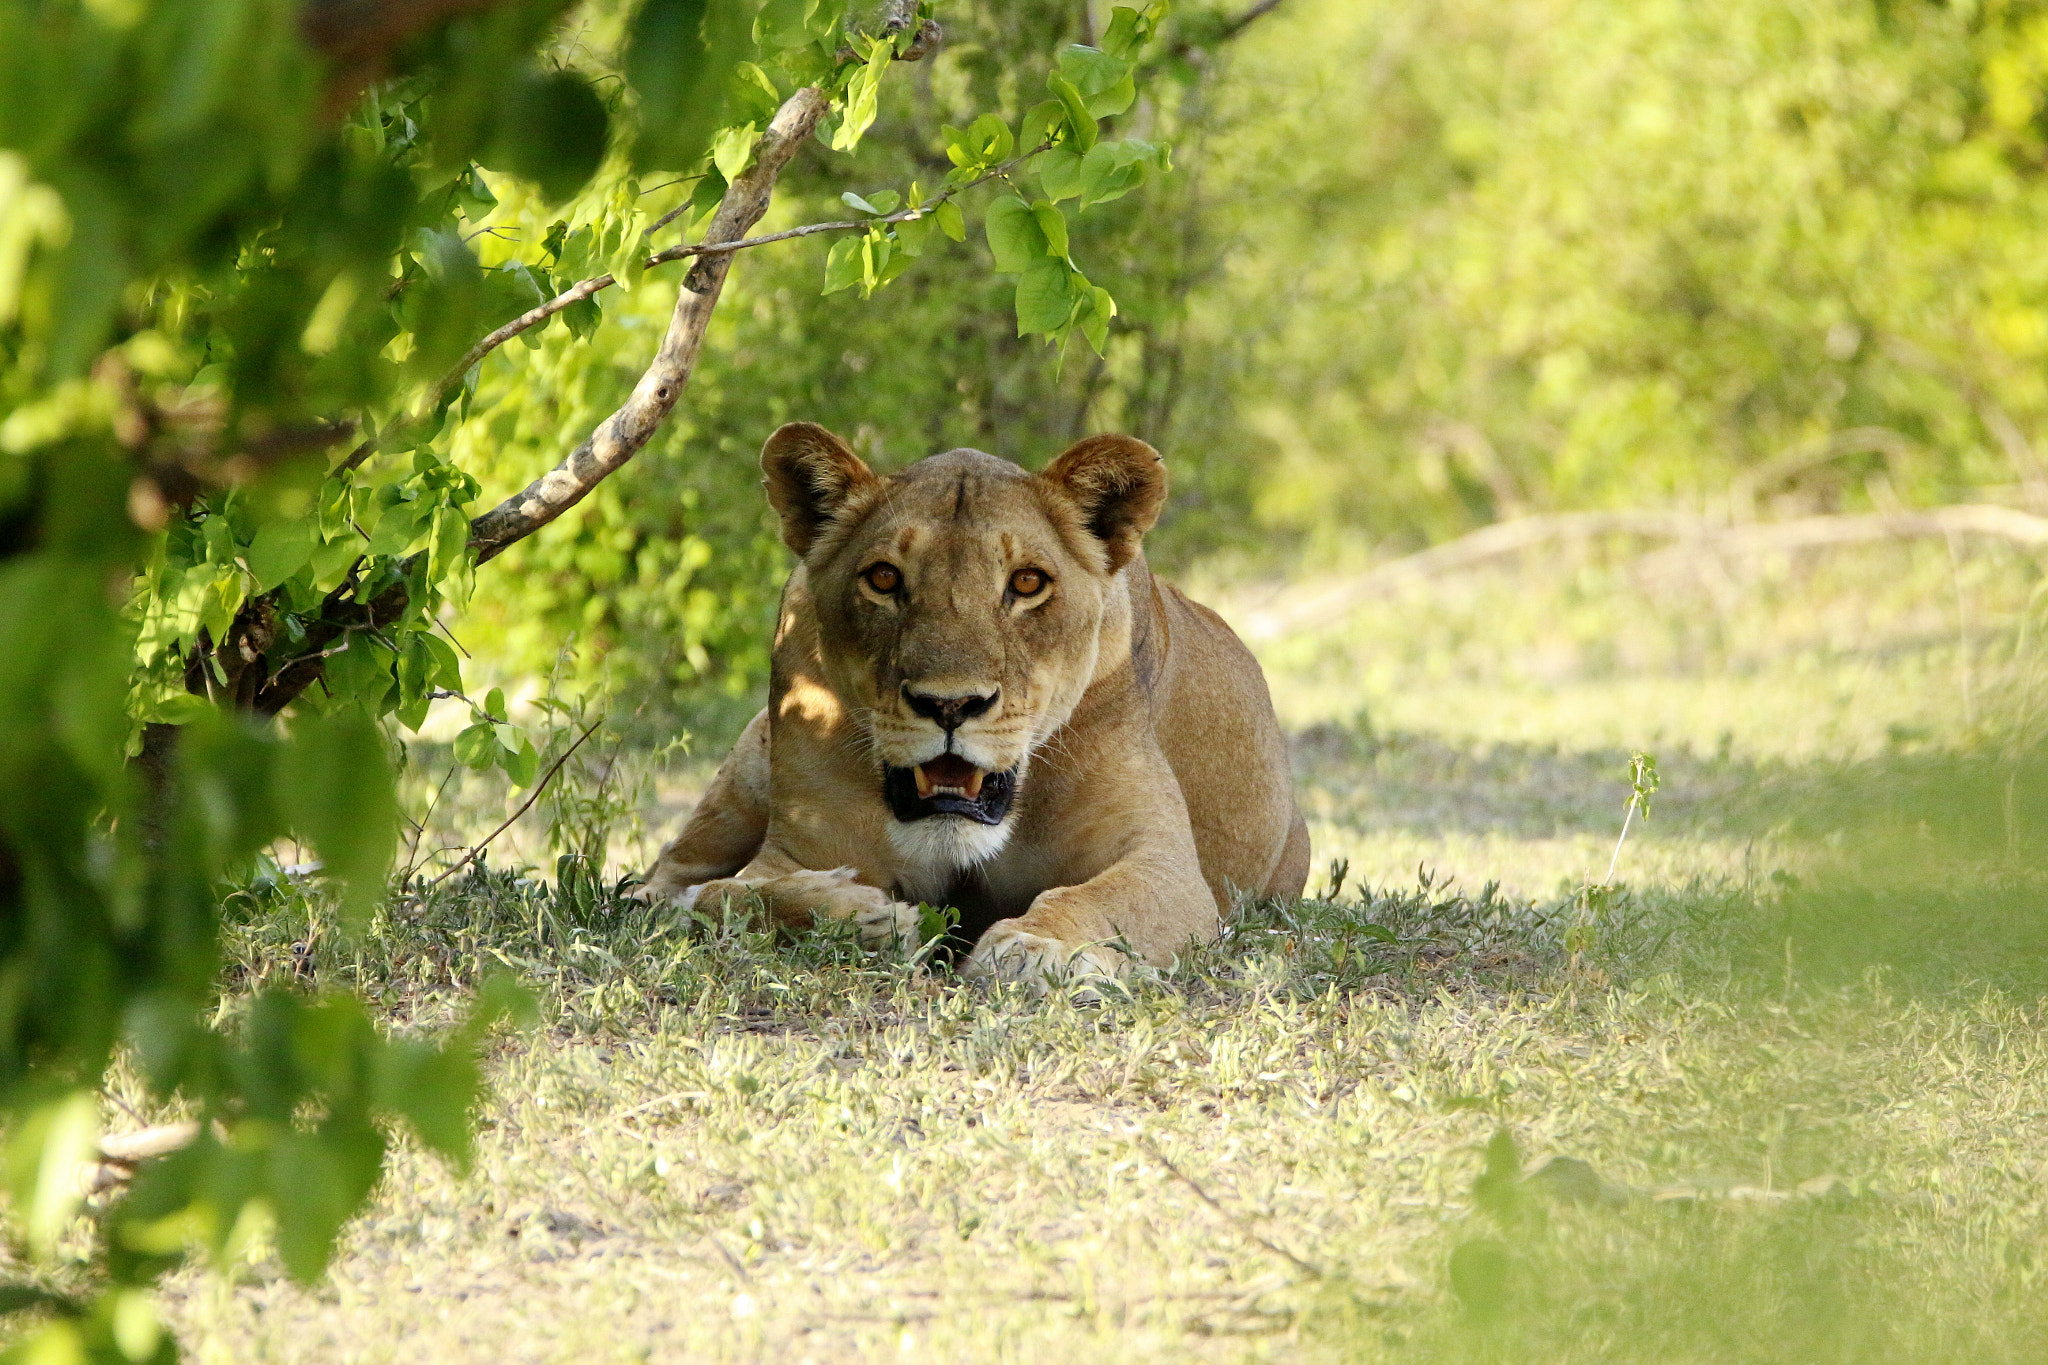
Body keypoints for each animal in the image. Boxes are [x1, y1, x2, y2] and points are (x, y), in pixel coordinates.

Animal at [636, 422, 1309, 987]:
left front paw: (1035, 949)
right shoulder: (798, 850)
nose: (951, 705)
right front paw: (868, 918)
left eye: (1028, 582)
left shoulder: (1165, 865)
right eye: (883, 578)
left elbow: (1094, 899)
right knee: (667, 879)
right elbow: (734, 895)